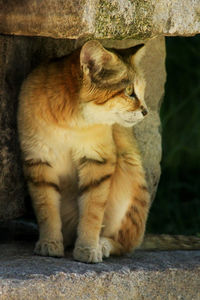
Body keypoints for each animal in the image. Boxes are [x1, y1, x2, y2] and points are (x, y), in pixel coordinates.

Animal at [17, 40, 200, 262]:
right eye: (129, 91)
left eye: (142, 90)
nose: (146, 111)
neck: (70, 121)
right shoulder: (38, 159)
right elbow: (46, 208)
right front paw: (49, 243)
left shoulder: (99, 160)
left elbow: (93, 210)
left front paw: (88, 248)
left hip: (129, 169)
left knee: (126, 243)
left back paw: (103, 244)